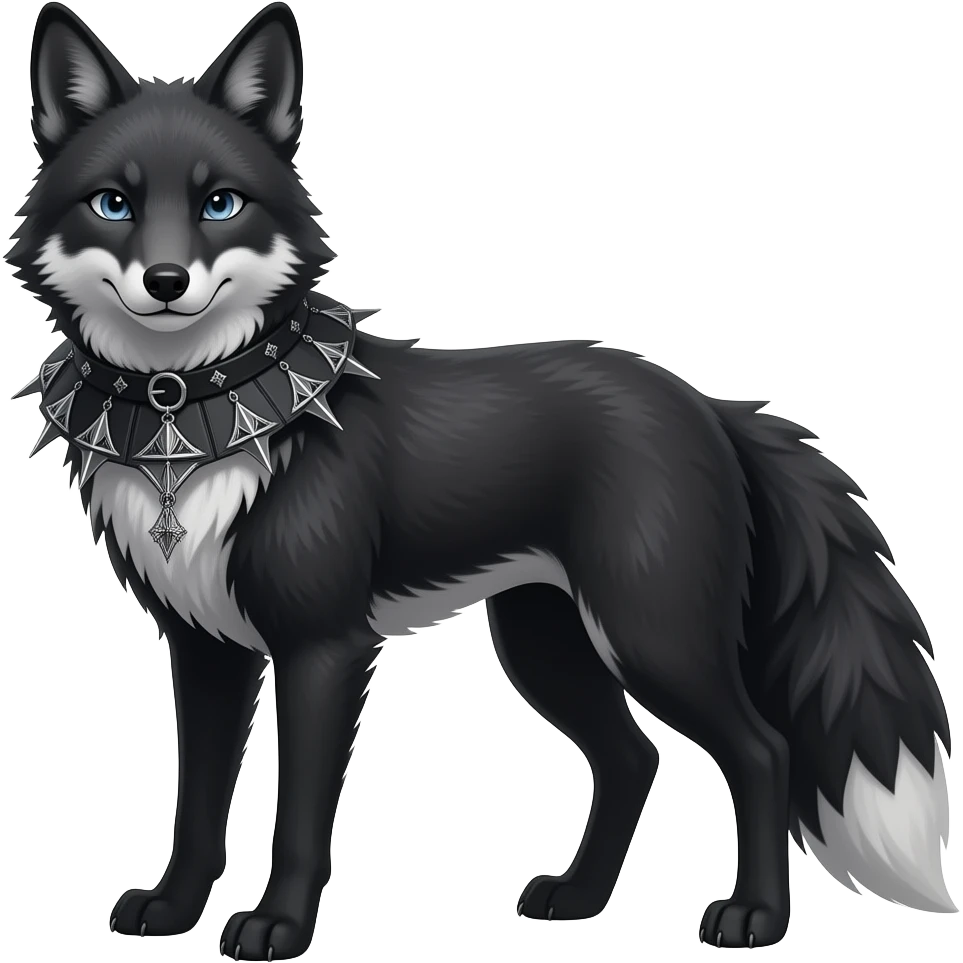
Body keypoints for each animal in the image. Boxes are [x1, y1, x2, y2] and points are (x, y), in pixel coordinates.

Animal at [6, 2, 957, 959]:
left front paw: (278, 924)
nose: (165, 282)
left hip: (651, 635)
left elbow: (300, 818)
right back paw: (577, 897)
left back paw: (753, 918)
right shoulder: (205, 646)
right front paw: (171, 910)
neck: (194, 411)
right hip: (546, 644)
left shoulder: (323, 647)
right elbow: (197, 807)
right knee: (633, 757)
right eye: (115, 204)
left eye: (218, 203)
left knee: (761, 751)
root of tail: (708, 405)